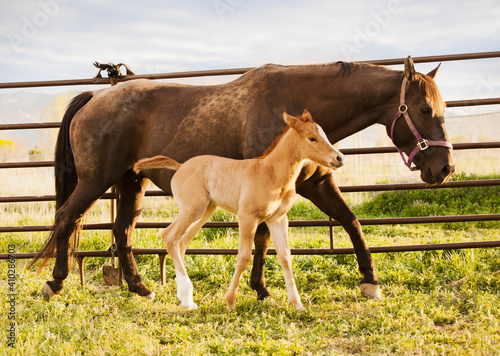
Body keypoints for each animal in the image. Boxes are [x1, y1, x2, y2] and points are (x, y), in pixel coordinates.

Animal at [133, 110, 344, 310]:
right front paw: (230, 302)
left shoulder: (278, 219)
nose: (339, 158)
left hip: (204, 211)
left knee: (181, 241)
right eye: (312, 138)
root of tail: (180, 166)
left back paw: (186, 299)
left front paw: (297, 304)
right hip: (192, 209)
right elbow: (243, 257)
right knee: (169, 236)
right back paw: (187, 295)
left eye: (324, 135)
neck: (271, 173)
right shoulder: (247, 217)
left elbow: (285, 257)